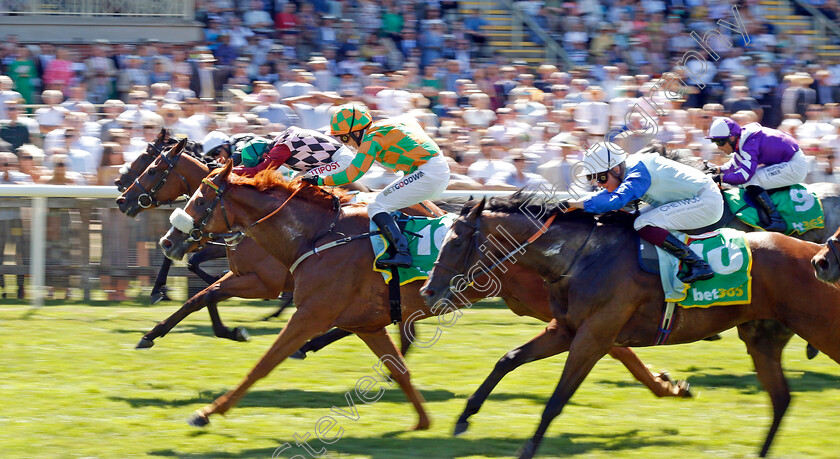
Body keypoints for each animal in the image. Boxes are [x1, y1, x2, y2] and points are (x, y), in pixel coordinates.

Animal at [156, 164, 688, 432]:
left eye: (201, 197)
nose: (168, 240)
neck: (318, 234)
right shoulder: (365, 322)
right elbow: (400, 369)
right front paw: (423, 420)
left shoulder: (310, 311)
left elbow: (263, 364)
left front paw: (208, 411)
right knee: (610, 343)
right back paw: (668, 385)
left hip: (545, 303)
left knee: (613, 344)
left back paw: (665, 385)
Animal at [424, 195, 840, 459]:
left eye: (456, 241)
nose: (428, 291)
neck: (580, 257)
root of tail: (816, 254)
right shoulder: (566, 329)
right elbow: (508, 359)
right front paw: (463, 418)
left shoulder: (594, 335)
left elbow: (557, 399)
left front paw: (527, 448)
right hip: (762, 338)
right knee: (781, 399)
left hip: (822, 328)